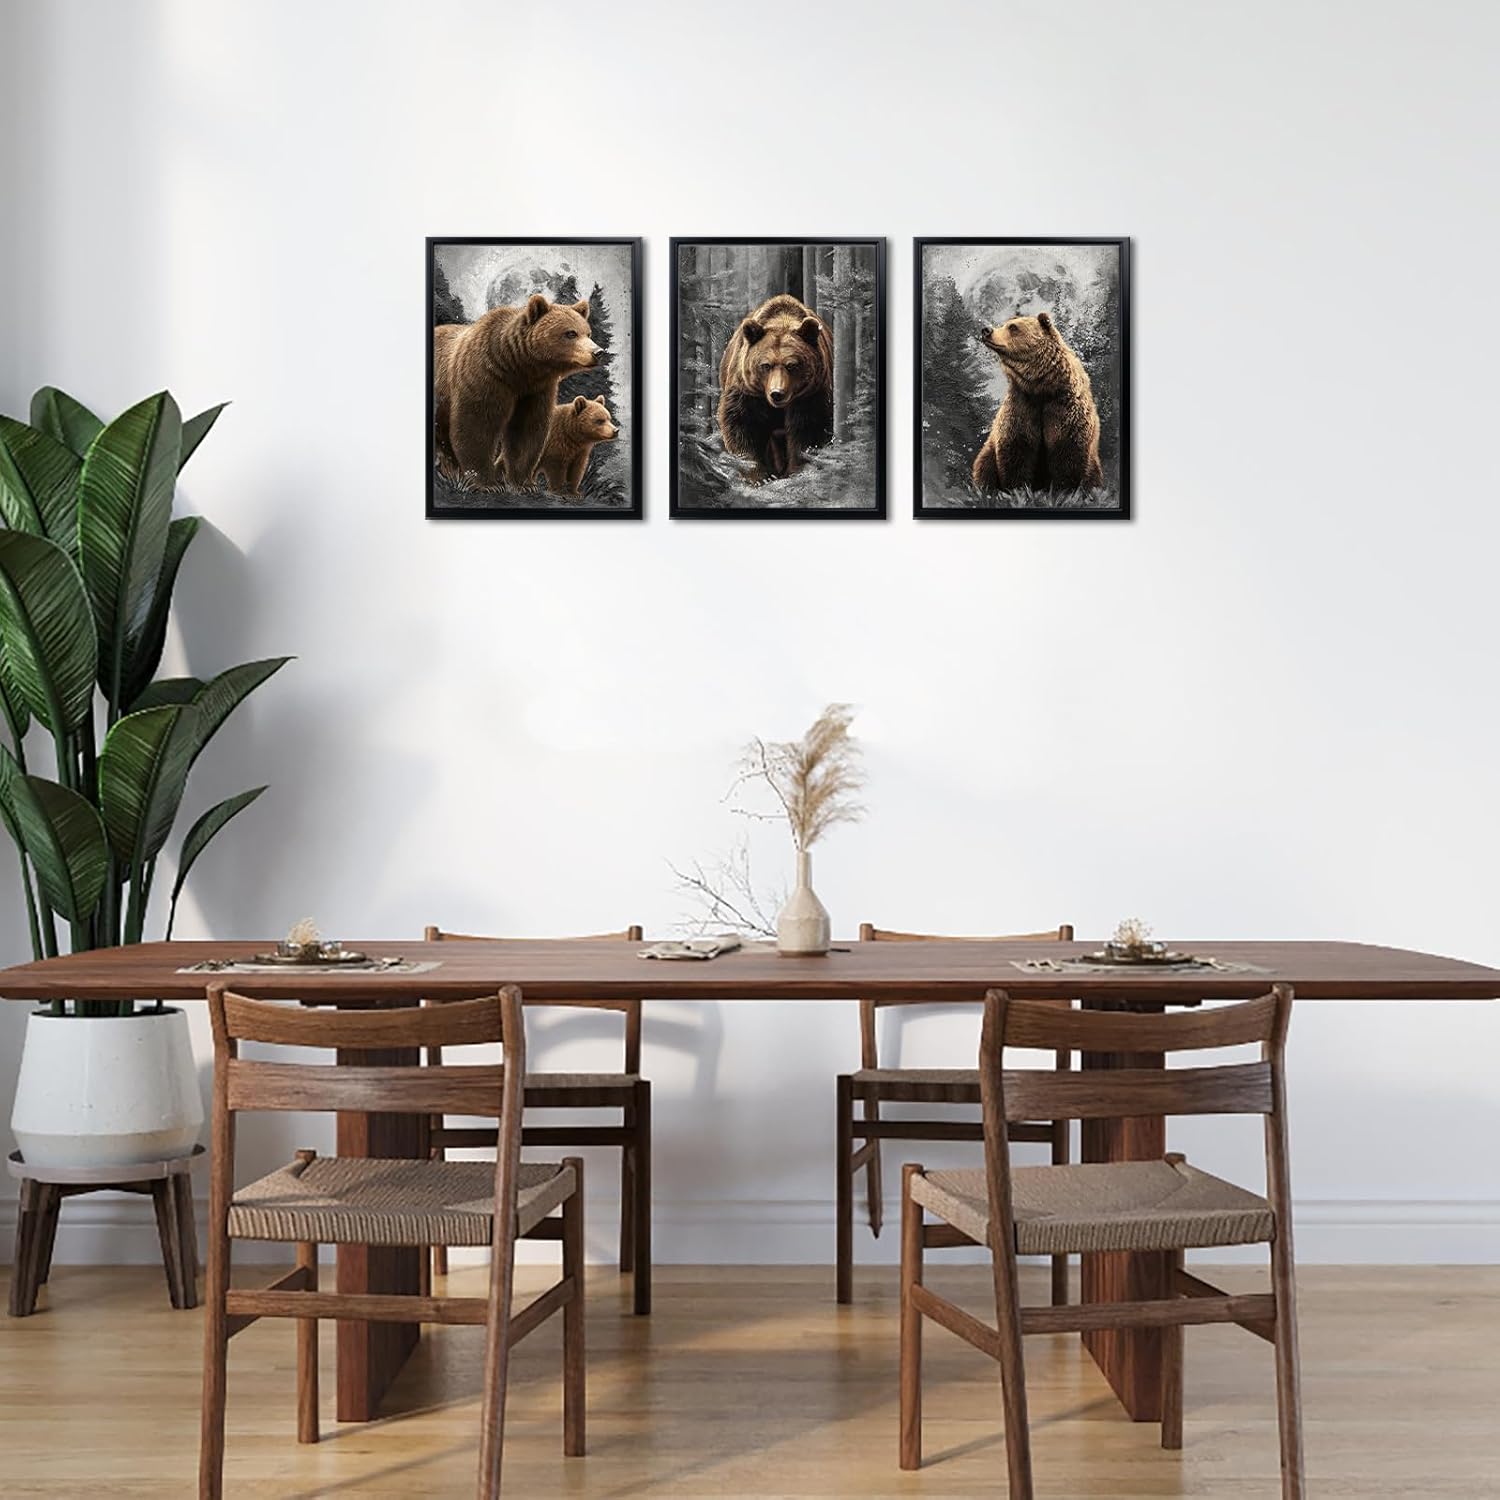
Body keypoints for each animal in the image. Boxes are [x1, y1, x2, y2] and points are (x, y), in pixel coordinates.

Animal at [433, 293, 600, 489]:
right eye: (571, 333)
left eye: (588, 333)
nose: (598, 352)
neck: (516, 367)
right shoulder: (484, 377)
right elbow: (476, 425)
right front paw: (487, 484)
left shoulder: (534, 391)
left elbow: (527, 431)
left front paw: (524, 483)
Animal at [716, 294, 833, 480]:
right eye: (765, 365)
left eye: (792, 365)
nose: (777, 393)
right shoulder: (748, 390)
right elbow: (743, 422)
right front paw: (759, 476)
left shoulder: (810, 394)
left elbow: (808, 428)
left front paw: (797, 470)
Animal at [971, 311, 1103, 495]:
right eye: (1005, 324)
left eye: (1013, 327)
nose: (986, 330)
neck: (1040, 388)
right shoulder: (1021, 405)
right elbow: (1017, 450)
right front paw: (1017, 489)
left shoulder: (1065, 408)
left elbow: (1068, 454)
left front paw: (1064, 491)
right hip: (987, 454)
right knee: (984, 468)